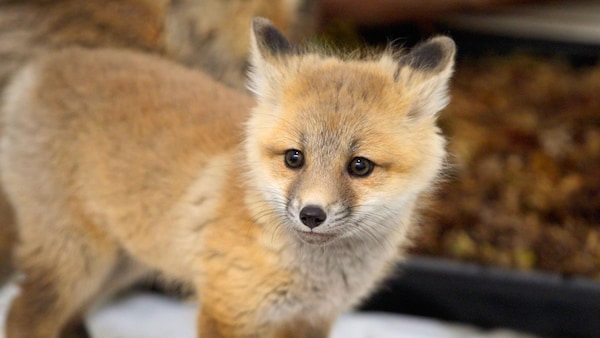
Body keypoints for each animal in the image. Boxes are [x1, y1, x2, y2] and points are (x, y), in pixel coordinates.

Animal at [0, 17, 454, 338]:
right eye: (294, 158)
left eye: (360, 166)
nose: (311, 215)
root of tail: (50, 63)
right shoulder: (227, 311)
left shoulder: (310, 320)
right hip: (74, 259)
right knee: (22, 318)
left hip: (121, 263)